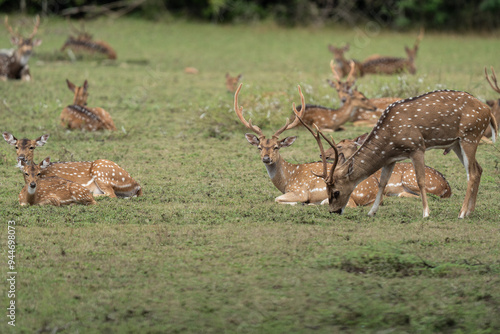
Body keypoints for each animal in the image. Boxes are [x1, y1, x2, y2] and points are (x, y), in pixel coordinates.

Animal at [3, 131, 143, 198]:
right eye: (16, 146)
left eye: (32, 147)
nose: (21, 158)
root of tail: (137, 185)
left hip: (101, 172)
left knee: (111, 195)